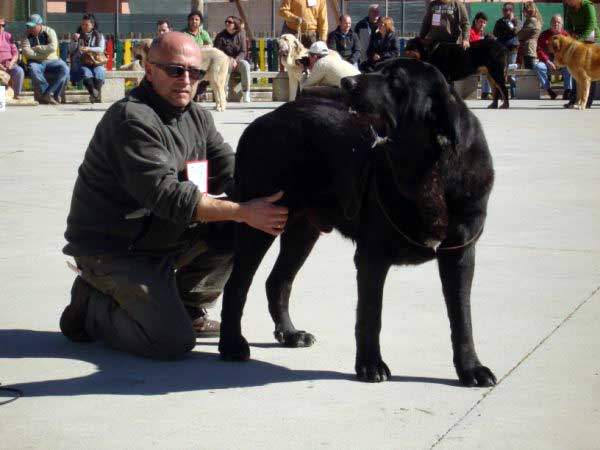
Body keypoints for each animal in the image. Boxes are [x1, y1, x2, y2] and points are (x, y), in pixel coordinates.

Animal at [219, 57, 496, 386]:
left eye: (395, 80)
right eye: (374, 68)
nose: (346, 82)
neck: (427, 166)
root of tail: (260, 122)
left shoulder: (459, 252)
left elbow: (462, 315)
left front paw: (471, 368)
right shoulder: (372, 255)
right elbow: (370, 314)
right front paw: (370, 364)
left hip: (302, 230)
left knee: (278, 280)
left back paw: (290, 333)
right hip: (260, 219)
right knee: (237, 284)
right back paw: (232, 344)